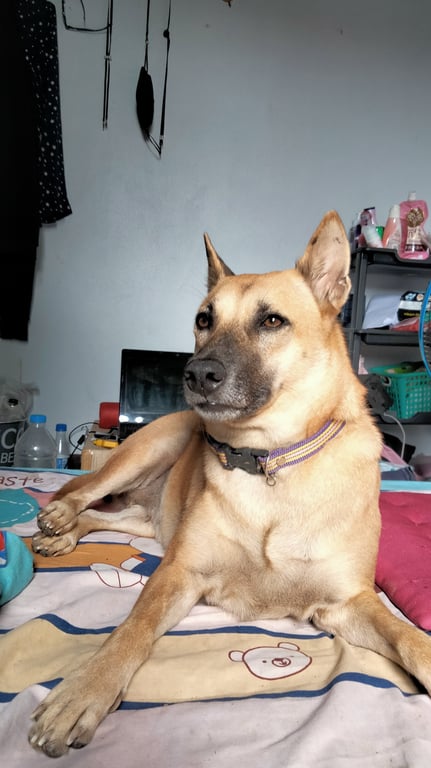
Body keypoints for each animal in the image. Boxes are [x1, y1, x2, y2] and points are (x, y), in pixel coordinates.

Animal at [29, 212, 431, 757]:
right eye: (204, 320)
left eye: (272, 321)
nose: (196, 374)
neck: (270, 461)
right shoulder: (179, 572)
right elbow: (132, 629)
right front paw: (85, 689)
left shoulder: (351, 603)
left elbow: (409, 637)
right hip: (146, 454)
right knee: (82, 494)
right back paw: (57, 521)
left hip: (149, 522)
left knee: (101, 515)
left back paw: (67, 534)